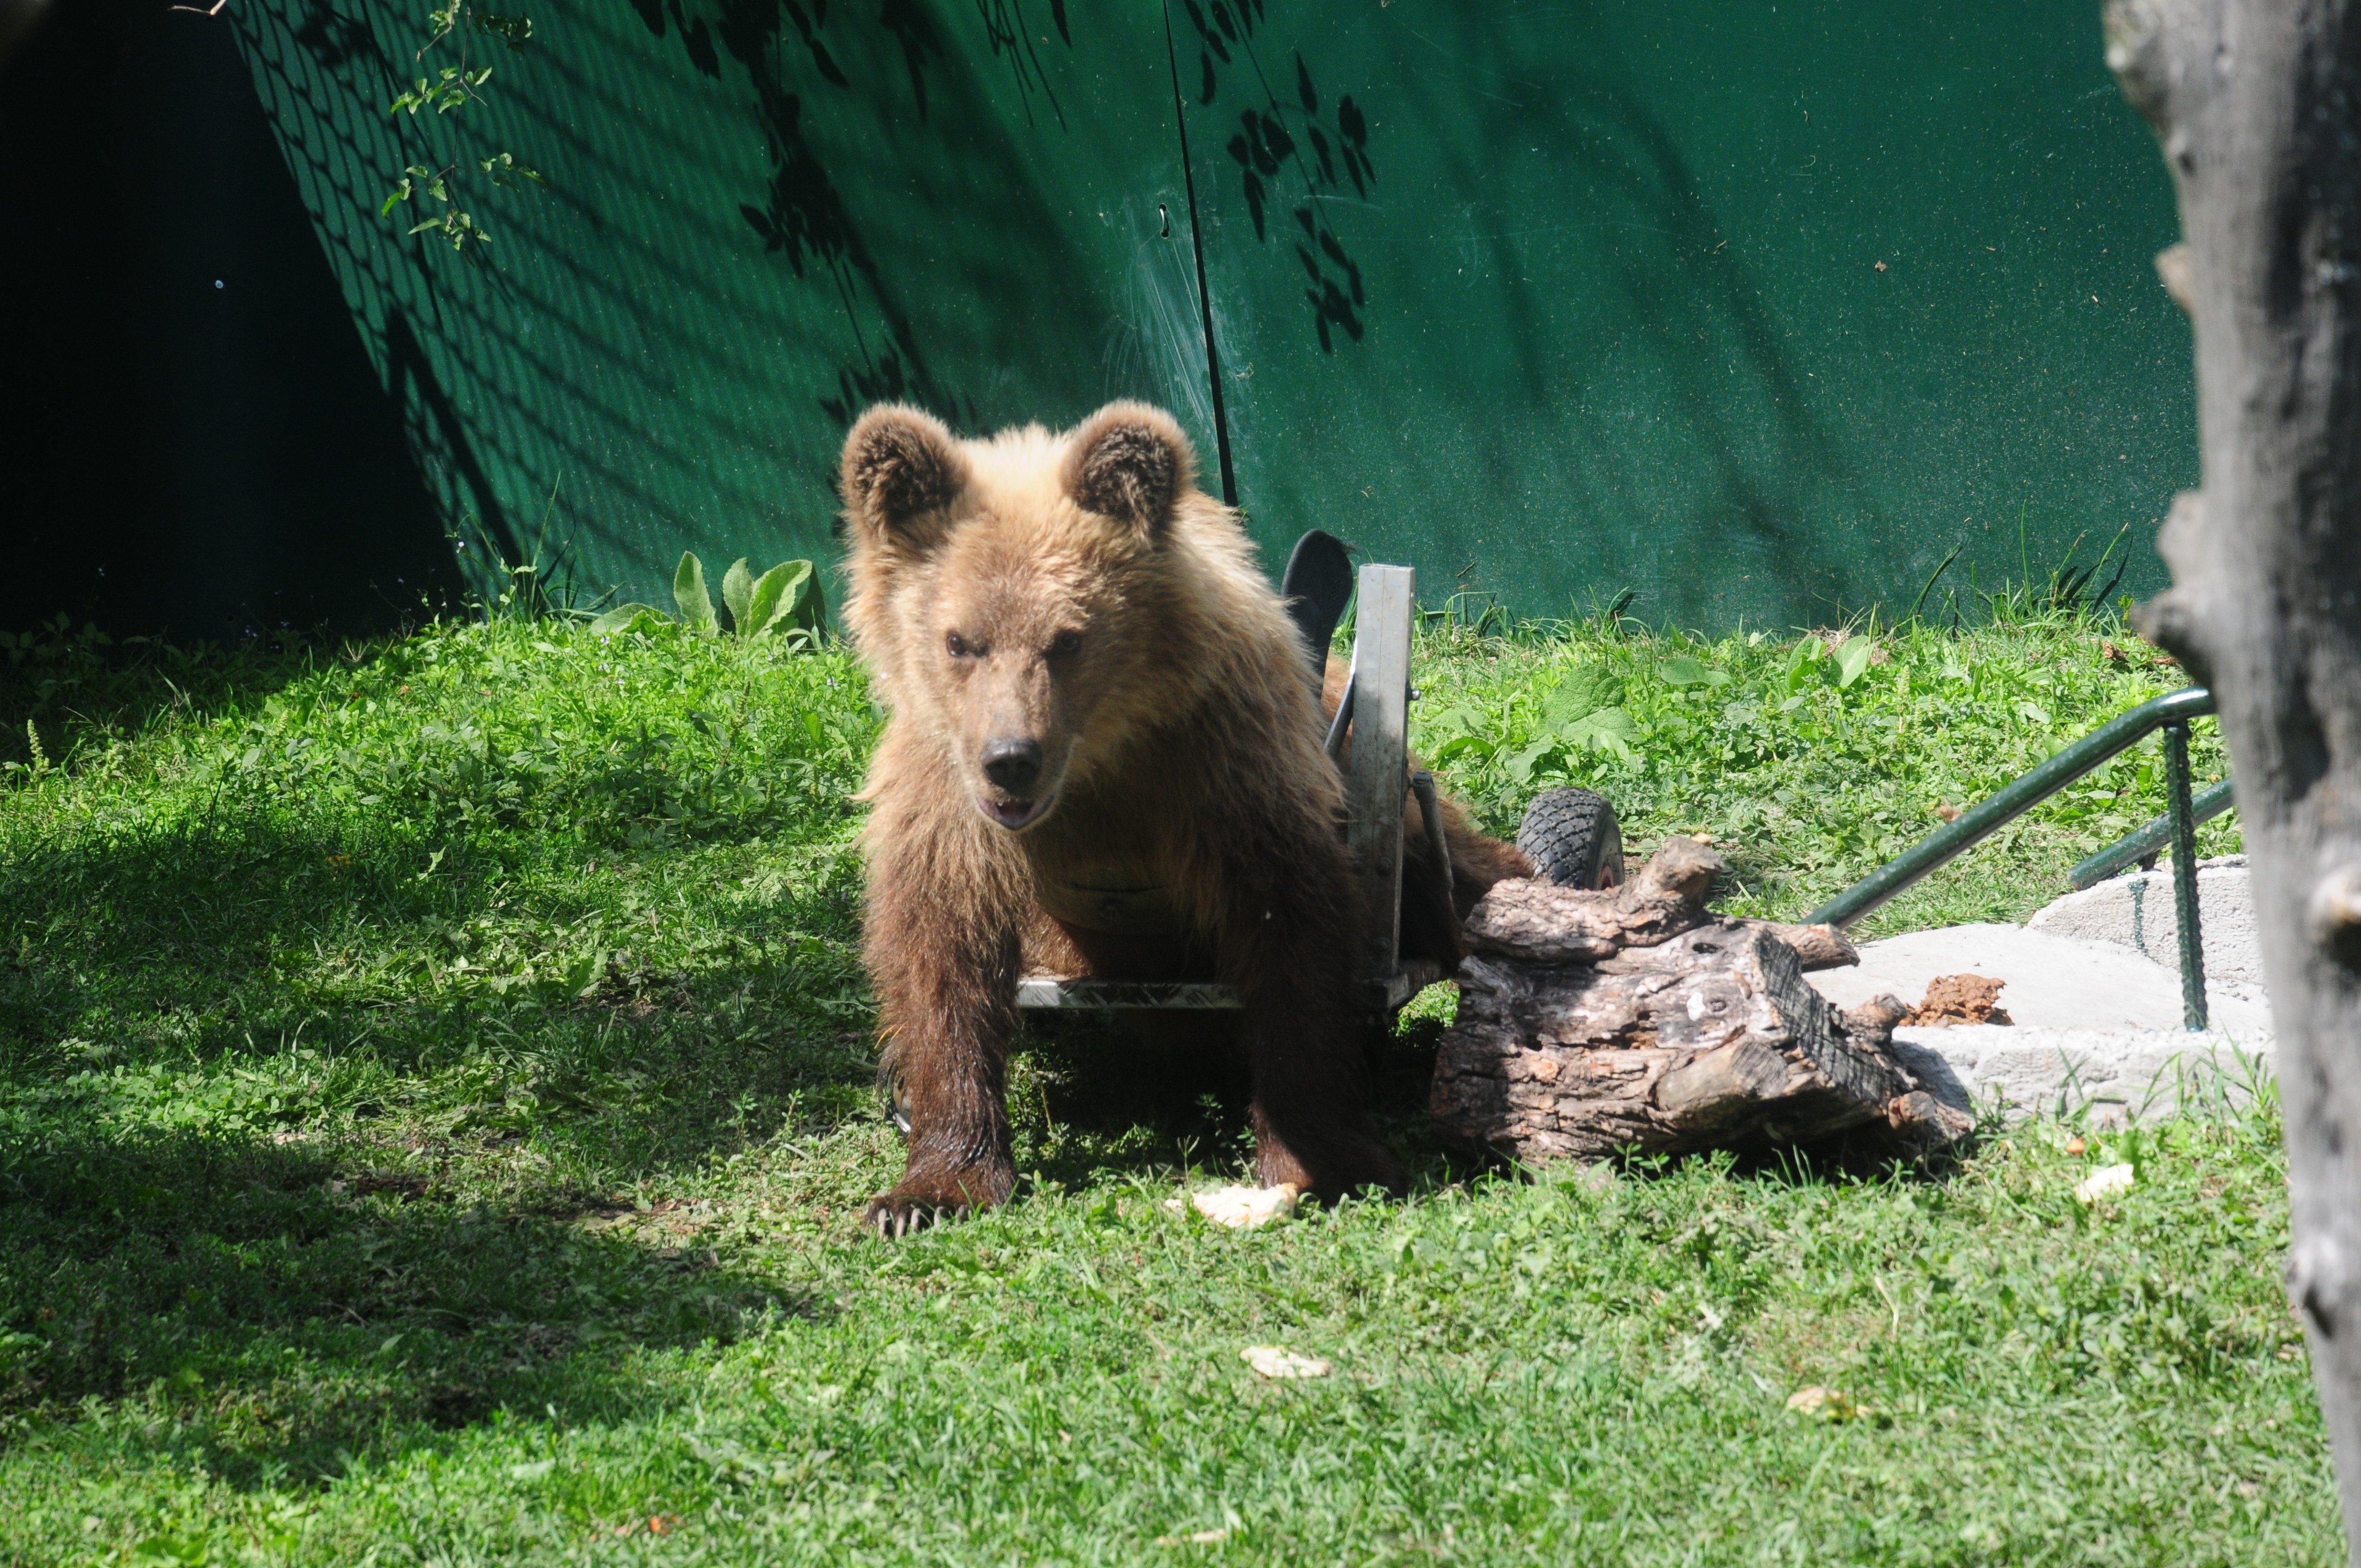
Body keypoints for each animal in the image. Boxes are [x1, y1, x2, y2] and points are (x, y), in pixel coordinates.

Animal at [839, 400, 1530, 1236]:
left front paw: (1323, 1160)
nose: (1011, 758)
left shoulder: (1221, 771)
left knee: (1463, 880)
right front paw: (928, 1189)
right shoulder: (949, 795)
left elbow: (1292, 940)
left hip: (1400, 811)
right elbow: (940, 955)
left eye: (1067, 640)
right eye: (958, 641)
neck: (1100, 761)